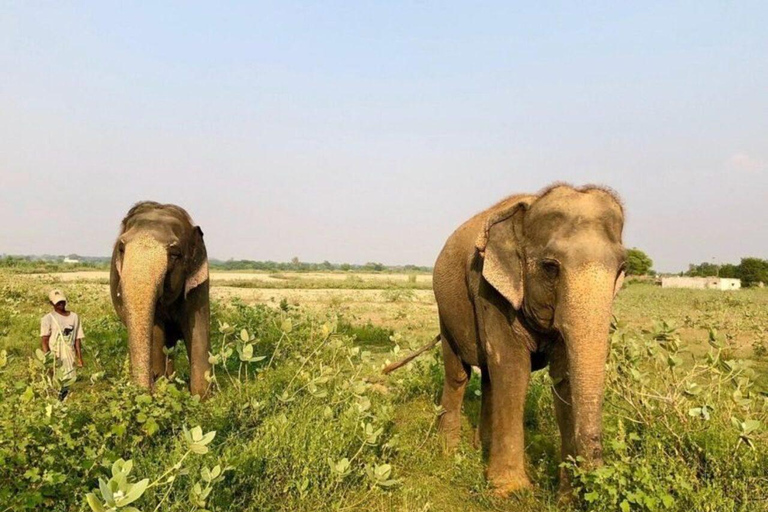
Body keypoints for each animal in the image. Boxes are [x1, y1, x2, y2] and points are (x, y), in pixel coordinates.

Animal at [110, 201, 211, 397]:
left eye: (175, 254)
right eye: (121, 248)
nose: (147, 390)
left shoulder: (198, 284)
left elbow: (198, 330)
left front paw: (202, 398)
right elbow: (156, 332)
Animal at [385, 184, 626, 496]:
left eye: (622, 268)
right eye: (550, 267)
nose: (590, 482)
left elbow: (563, 378)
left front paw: (566, 498)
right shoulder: (489, 291)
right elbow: (513, 368)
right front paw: (510, 491)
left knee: (489, 377)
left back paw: (482, 446)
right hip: (445, 310)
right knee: (458, 373)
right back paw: (449, 450)